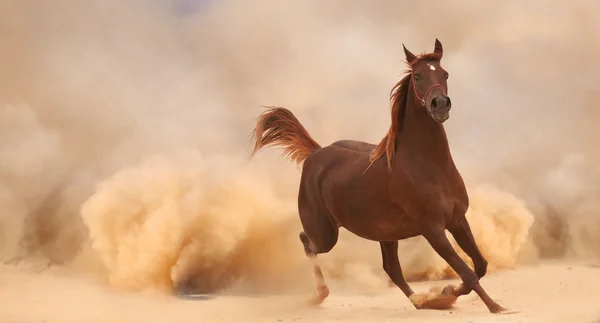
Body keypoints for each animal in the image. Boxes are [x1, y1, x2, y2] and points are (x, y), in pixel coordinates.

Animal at [251, 39, 508, 316]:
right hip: (326, 234)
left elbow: (480, 265)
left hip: (386, 234)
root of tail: (316, 153)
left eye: (445, 74)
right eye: (418, 76)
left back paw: (420, 300)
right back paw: (320, 295)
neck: (429, 166)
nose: (439, 105)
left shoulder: (457, 220)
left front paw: (445, 293)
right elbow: (467, 272)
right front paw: (493, 306)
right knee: (307, 242)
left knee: (392, 269)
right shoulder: (433, 229)